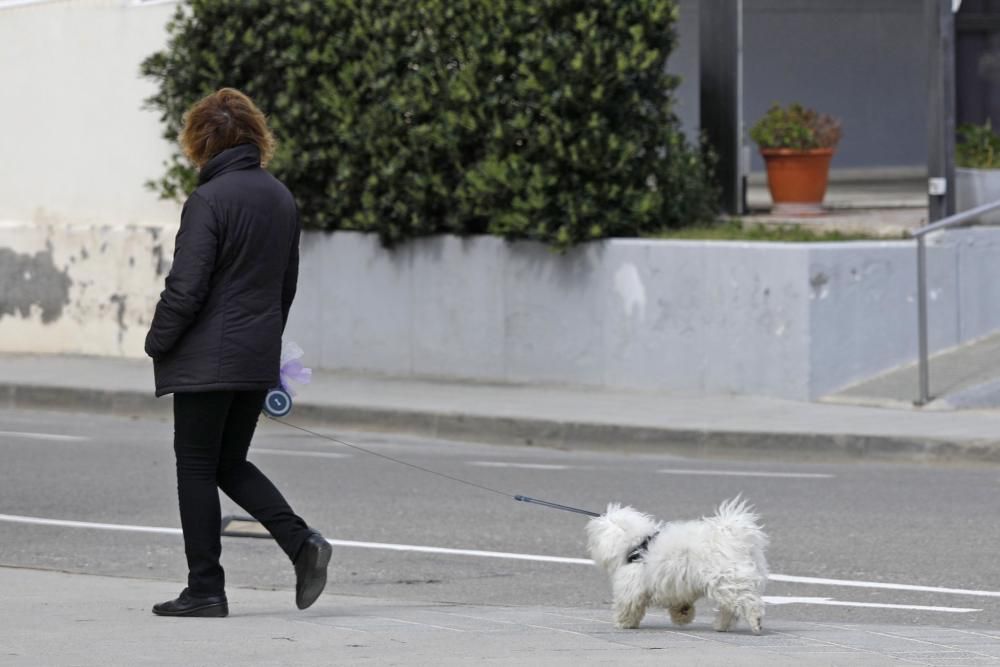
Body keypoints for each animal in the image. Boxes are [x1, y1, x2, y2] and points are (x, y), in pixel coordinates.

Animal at [584, 498, 768, 636]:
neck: (637, 544)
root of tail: (734, 537)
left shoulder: (631, 584)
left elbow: (628, 604)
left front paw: (623, 622)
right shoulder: (676, 586)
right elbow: (680, 602)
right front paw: (683, 615)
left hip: (726, 579)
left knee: (747, 601)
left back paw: (755, 621)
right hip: (728, 583)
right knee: (731, 607)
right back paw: (722, 625)